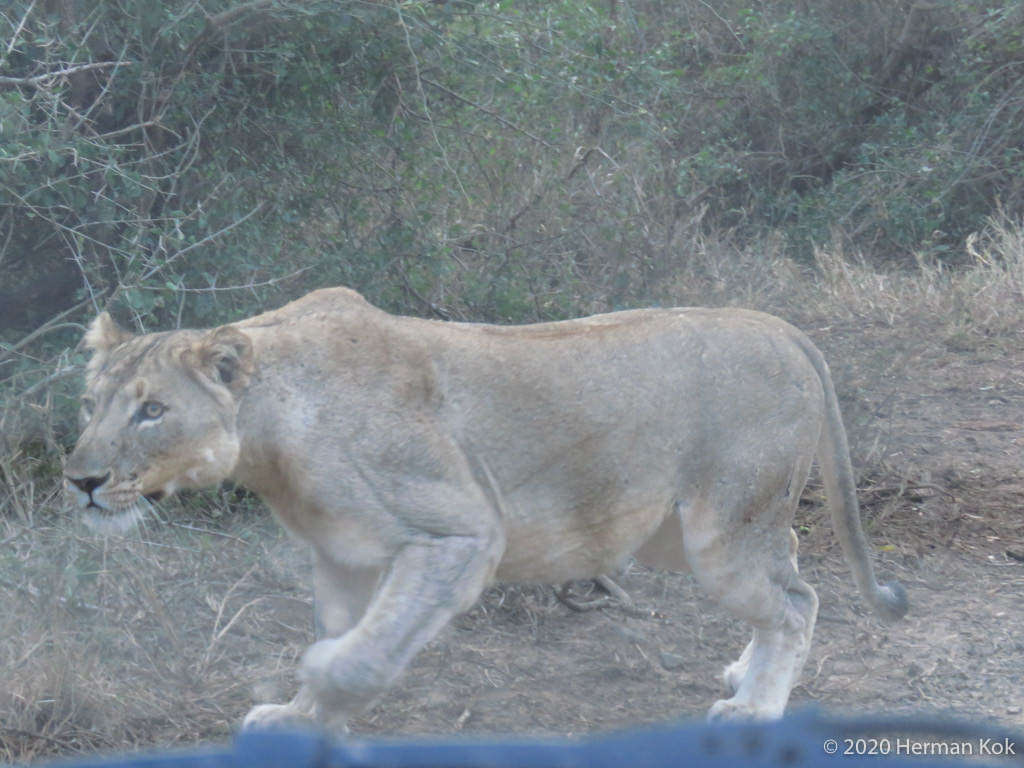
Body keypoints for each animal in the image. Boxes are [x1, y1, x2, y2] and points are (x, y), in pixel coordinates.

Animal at [64, 286, 907, 727]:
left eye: (151, 411)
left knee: (798, 597)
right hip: (683, 532)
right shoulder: (341, 553)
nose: (80, 480)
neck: (268, 437)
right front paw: (300, 721)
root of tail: (775, 324)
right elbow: (340, 637)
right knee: (789, 568)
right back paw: (742, 672)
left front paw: (316, 686)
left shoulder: (461, 532)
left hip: (719, 534)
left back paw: (756, 708)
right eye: (91, 404)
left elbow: (356, 656)